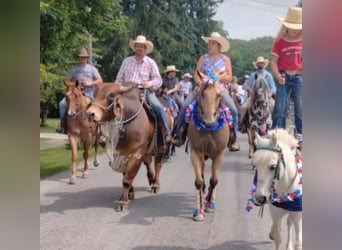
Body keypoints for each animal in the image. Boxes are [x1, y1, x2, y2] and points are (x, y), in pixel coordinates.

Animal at [84, 82, 172, 211]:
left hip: (161, 146)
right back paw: (151, 178)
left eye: (111, 95)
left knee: (158, 165)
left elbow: (127, 179)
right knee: (148, 162)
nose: (90, 113)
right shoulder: (121, 155)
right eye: (95, 94)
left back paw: (155, 184)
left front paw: (123, 201)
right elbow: (125, 175)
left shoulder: (136, 154)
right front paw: (130, 193)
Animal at [187, 72, 230, 221]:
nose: (209, 121)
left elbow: (214, 180)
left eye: (219, 95)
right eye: (202, 94)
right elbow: (199, 181)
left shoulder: (220, 154)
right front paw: (198, 211)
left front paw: (209, 204)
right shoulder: (196, 152)